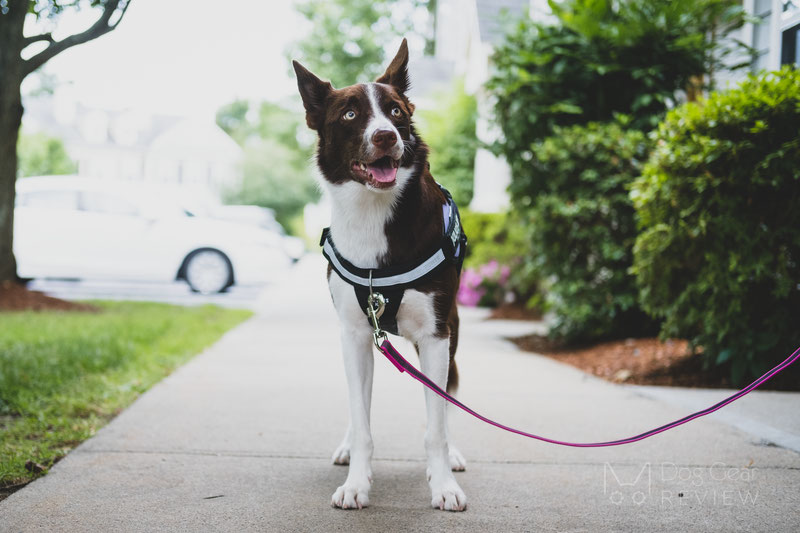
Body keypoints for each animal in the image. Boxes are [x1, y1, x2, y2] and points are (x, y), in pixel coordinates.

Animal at [294, 39, 468, 510]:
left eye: (395, 111)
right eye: (350, 115)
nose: (386, 136)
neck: (375, 212)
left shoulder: (436, 336)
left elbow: (436, 427)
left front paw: (443, 483)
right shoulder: (355, 334)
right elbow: (363, 420)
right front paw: (357, 482)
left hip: (452, 334)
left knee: (447, 398)